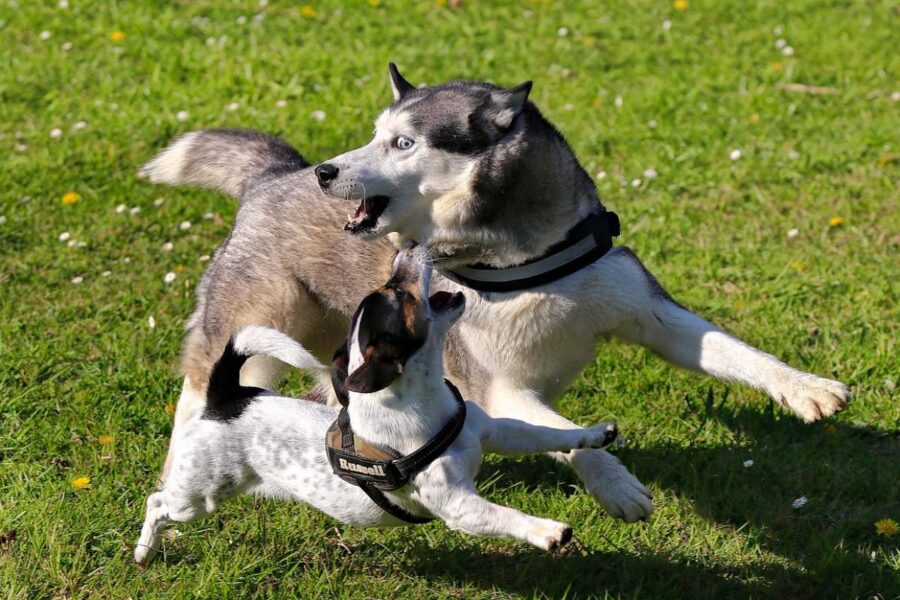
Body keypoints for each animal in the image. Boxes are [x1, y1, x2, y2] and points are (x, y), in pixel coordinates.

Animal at [135, 245, 620, 568]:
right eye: (398, 294)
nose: (408, 247)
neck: (426, 405)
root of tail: (227, 397)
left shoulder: (493, 431)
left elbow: (547, 434)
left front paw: (595, 434)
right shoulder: (459, 507)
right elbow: (506, 516)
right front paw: (547, 531)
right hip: (198, 495)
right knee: (157, 503)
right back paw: (144, 552)